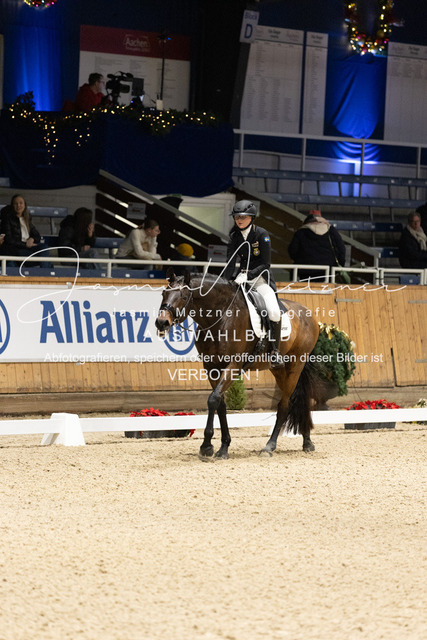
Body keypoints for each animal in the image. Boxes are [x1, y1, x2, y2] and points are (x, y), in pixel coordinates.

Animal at [155, 269, 322, 459]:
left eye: (183, 296)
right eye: (163, 293)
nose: (161, 323)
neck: (221, 317)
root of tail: (307, 313)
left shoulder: (233, 365)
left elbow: (213, 399)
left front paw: (206, 446)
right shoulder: (211, 367)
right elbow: (220, 403)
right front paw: (223, 447)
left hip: (295, 367)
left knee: (284, 406)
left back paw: (269, 446)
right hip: (280, 371)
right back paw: (306, 442)